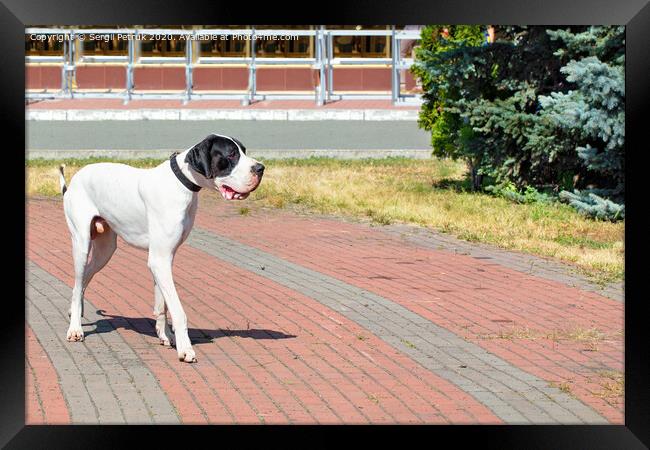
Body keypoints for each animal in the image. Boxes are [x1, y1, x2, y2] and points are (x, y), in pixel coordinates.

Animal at [58, 134, 264, 362]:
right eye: (231, 154)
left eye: (244, 151)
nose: (261, 168)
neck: (181, 183)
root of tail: (75, 179)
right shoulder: (160, 260)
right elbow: (178, 310)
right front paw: (185, 349)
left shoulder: (164, 258)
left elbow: (162, 303)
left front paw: (165, 335)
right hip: (81, 244)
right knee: (78, 281)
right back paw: (75, 328)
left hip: (105, 251)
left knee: (83, 280)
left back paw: (74, 311)